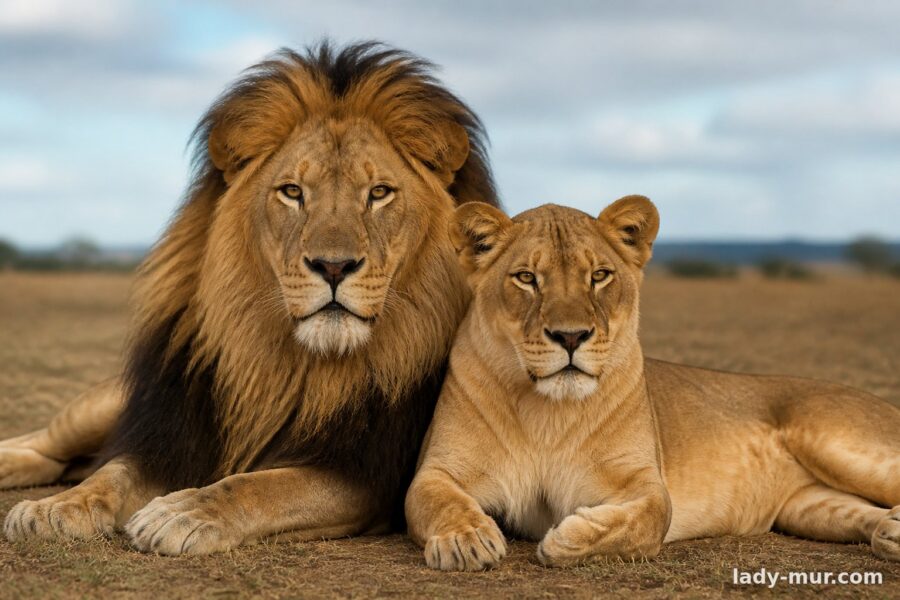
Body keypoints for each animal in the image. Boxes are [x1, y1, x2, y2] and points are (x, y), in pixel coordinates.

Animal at [1, 41, 500, 555]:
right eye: (292, 192)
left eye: (379, 193)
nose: (333, 266)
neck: (290, 367)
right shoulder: (169, 435)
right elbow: (110, 473)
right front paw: (58, 507)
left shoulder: (363, 477)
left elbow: (259, 485)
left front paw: (182, 512)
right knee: (52, 445)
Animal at [405, 196, 900, 570]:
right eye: (527, 278)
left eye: (599, 276)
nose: (571, 336)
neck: (547, 410)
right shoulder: (440, 468)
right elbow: (434, 500)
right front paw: (466, 539)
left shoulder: (643, 480)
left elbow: (649, 518)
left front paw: (567, 537)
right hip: (807, 506)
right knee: (861, 514)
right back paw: (891, 533)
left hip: (841, 444)